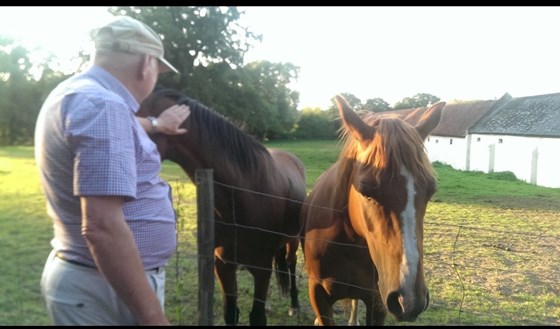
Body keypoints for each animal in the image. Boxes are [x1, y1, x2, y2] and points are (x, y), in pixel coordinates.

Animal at [138, 86, 308, 324]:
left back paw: (294, 304)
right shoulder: (224, 265)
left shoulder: (262, 268)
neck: (242, 197)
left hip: (294, 239)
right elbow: (231, 314)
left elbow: (257, 317)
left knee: (292, 264)